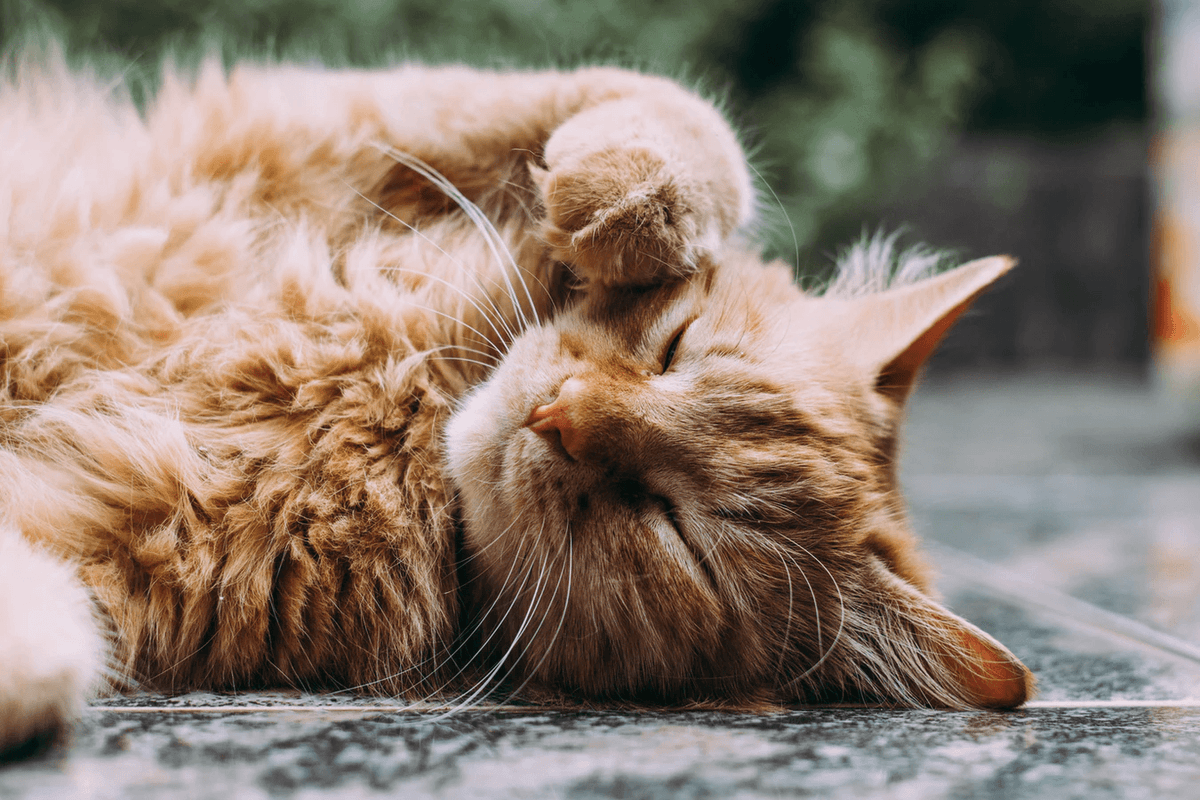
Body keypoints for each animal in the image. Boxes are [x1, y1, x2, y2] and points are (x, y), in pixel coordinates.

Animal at [0, 53, 1032, 753]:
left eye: (678, 534)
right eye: (675, 347)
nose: (559, 417)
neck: (412, 397)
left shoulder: (125, 556)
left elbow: (58, 630)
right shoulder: (311, 131)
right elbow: (684, 119)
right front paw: (622, 204)